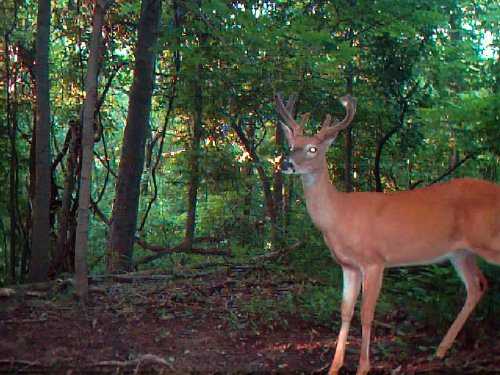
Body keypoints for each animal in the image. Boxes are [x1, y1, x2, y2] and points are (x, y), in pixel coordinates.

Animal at [276, 92, 498, 375]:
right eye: (291, 144)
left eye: (313, 148)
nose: (286, 163)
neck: (338, 216)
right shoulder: (348, 266)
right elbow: (345, 311)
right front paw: (334, 366)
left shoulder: (374, 261)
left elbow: (366, 313)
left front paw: (363, 366)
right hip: (460, 253)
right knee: (477, 285)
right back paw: (440, 349)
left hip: (489, 241)